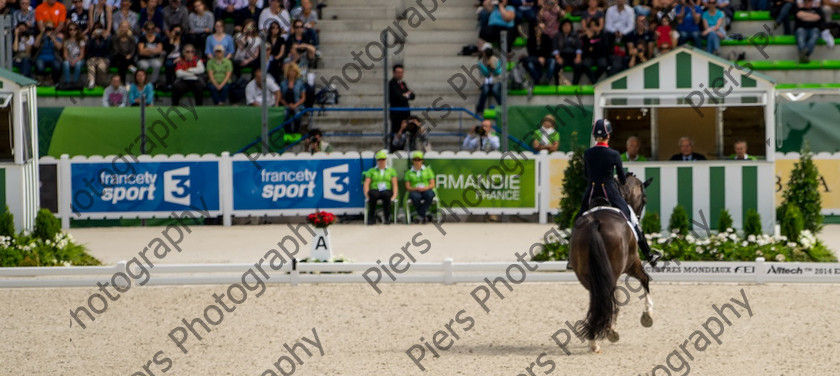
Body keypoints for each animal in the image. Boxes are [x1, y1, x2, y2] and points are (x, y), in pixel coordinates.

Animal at [572, 172, 656, 354]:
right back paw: (609, 332)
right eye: (645, 199)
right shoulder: (632, 264)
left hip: (587, 275)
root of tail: (595, 222)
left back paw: (594, 339)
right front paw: (647, 315)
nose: (638, 217)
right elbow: (645, 279)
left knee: (598, 300)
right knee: (610, 298)